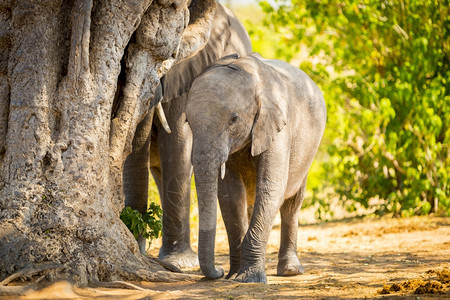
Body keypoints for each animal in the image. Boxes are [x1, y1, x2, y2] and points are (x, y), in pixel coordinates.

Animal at [186, 52, 326, 282]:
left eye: (233, 119)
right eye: (188, 121)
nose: (219, 271)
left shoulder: (278, 126)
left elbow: (271, 188)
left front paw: (248, 279)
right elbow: (230, 196)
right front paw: (234, 275)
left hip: (309, 149)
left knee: (292, 203)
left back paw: (290, 271)